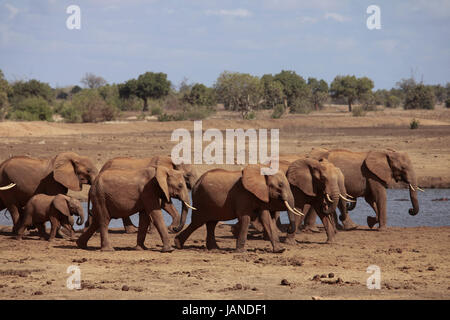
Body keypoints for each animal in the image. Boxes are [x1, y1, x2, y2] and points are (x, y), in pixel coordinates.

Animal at [174, 165, 304, 252]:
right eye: (280, 185)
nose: (288, 229)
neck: (261, 172)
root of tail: (196, 182)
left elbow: (266, 218)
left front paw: (279, 250)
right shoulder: (243, 195)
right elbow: (245, 218)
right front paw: (241, 252)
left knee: (211, 223)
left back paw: (214, 249)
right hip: (201, 201)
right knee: (198, 222)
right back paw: (178, 244)